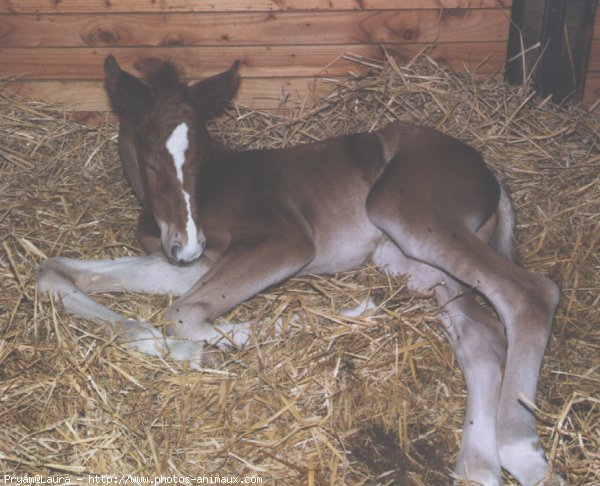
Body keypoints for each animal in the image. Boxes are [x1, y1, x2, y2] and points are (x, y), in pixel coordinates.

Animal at [36, 58, 564, 486]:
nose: (187, 244)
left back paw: (521, 452)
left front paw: (348, 314)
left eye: (203, 158)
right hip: (412, 261)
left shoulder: (284, 241)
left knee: (530, 294)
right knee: (482, 336)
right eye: (149, 161)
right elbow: (56, 272)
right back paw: (479, 467)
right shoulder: (195, 264)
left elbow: (184, 314)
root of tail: (490, 173)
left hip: (405, 212)